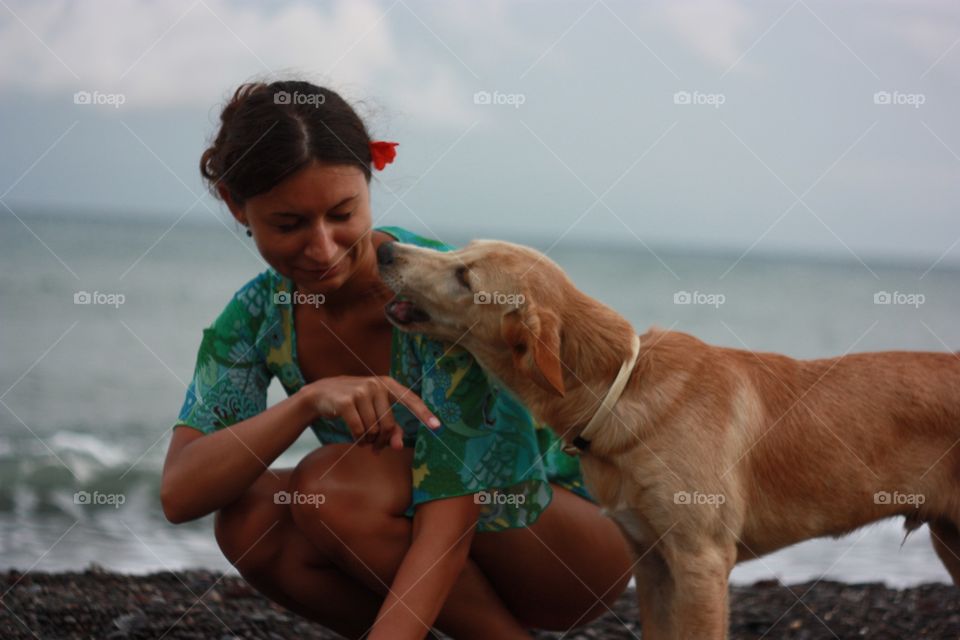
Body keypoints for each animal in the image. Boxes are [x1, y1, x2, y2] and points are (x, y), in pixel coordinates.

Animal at [376, 239, 960, 636]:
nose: (384, 249)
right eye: (460, 250)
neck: (618, 389)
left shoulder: (701, 562)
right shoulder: (652, 564)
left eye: (464, 276)